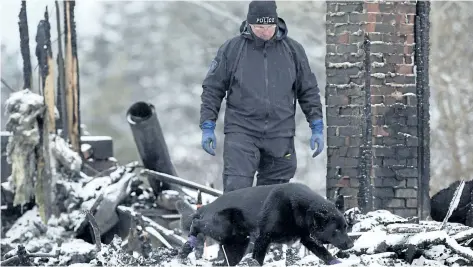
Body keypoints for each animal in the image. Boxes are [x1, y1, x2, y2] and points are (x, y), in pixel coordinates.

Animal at [179, 183, 352, 266]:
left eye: (345, 227)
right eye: (336, 230)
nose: (351, 245)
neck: (299, 208)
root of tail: (208, 206)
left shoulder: (308, 239)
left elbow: (326, 255)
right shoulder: (263, 238)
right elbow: (257, 260)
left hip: (237, 246)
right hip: (222, 228)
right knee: (196, 223)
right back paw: (187, 246)